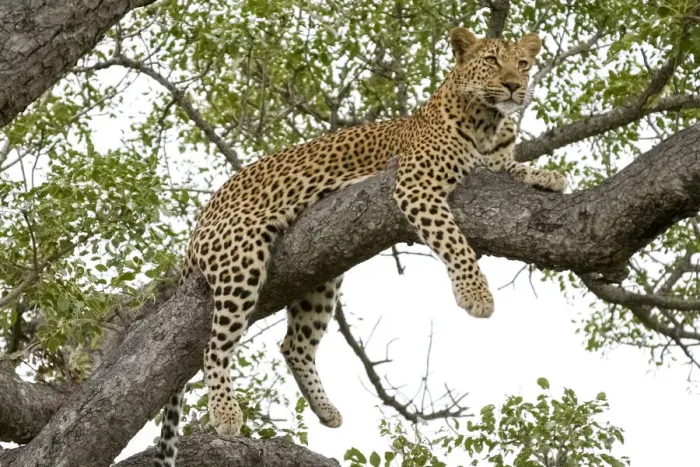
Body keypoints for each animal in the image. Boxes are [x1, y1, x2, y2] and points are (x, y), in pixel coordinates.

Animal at [154, 27, 567, 467]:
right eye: (491, 61)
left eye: (522, 64)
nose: (514, 85)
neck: (489, 122)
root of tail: (199, 223)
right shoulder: (416, 185)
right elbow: (454, 241)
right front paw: (476, 295)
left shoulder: (493, 166)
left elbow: (513, 168)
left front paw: (547, 175)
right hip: (240, 259)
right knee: (214, 348)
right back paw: (226, 413)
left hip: (321, 275)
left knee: (294, 345)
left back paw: (326, 410)